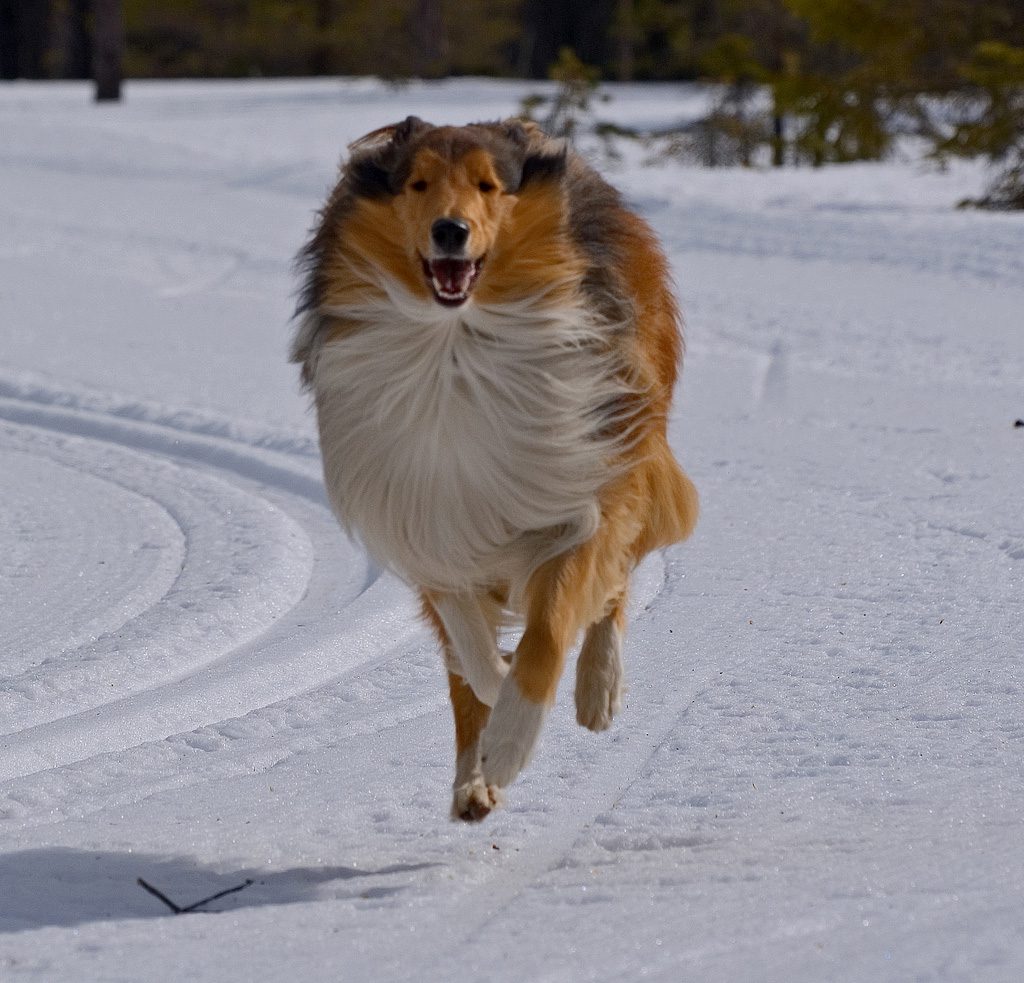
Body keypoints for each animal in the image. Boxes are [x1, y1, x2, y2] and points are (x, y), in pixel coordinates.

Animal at [292, 115, 700, 823]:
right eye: (417, 183)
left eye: (489, 186)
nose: (450, 231)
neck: (457, 350)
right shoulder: (430, 515)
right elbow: (470, 651)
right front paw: (492, 717)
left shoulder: (584, 485)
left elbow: (551, 629)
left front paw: (511, 739)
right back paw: (472, 784)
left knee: (615, 585)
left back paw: (597, 691)